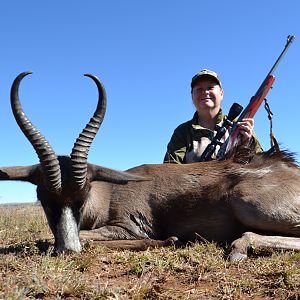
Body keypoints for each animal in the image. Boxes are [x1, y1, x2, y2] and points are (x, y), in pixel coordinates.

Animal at [1, 71, 300, 262]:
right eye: (43, 198)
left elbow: (65, 237)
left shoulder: (129, 228)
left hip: (248, 204)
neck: (109, 193)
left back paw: (237, 248)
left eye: (82, 197)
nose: (68, 250)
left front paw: (169, 240)